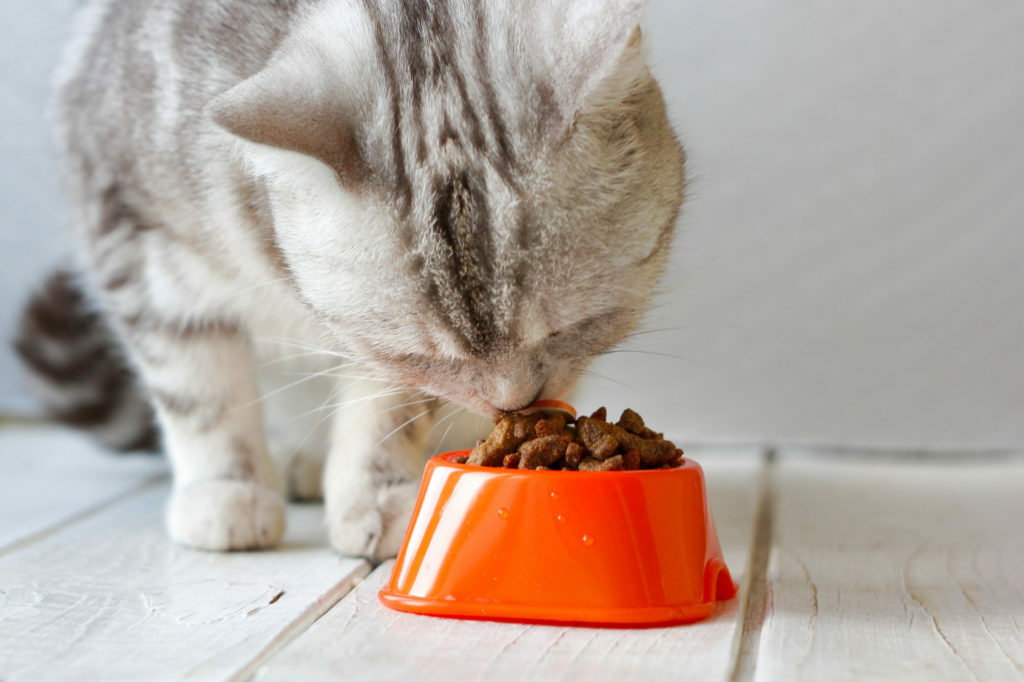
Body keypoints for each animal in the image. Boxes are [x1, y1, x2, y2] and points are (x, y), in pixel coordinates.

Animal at [14, 0, 679, 561]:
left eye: (575, 327)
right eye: (421, 353)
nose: (512, 404)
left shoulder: (381, 366)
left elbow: (384, 415)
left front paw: (377, 495)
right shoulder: (136, 240)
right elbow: (201, 394)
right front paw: (226, 490)